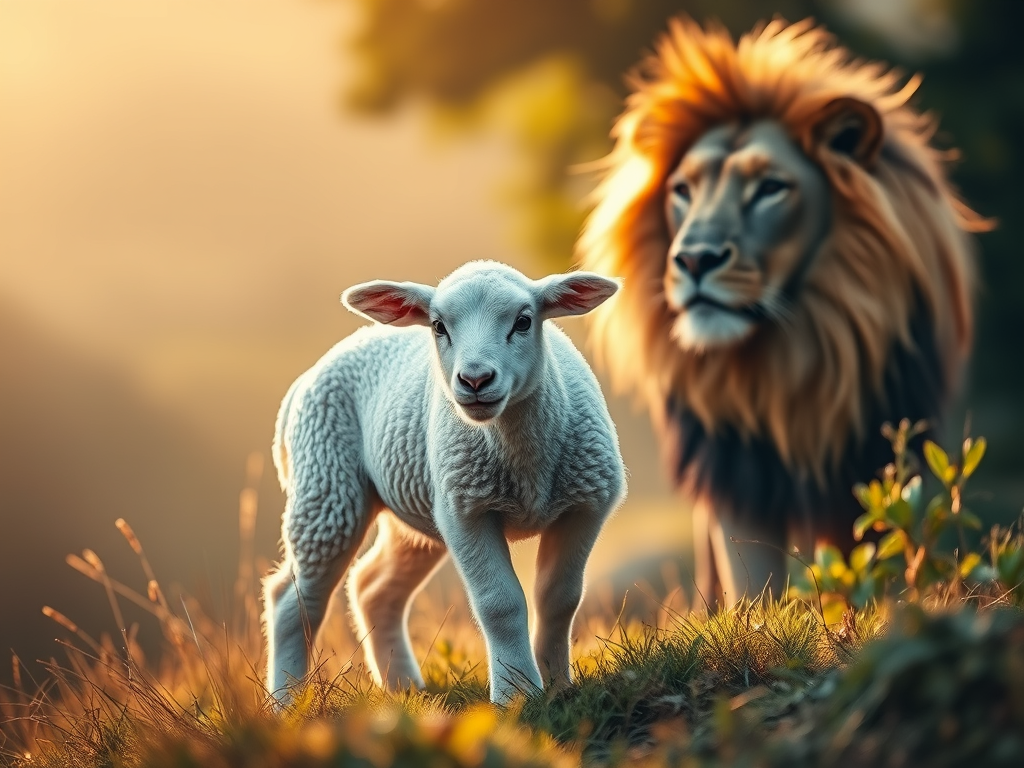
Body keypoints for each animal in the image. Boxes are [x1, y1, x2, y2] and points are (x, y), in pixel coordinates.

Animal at [262, 260, 626, 705]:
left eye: (524, 321)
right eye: (438, 326)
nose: (475, 380)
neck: (524, 463)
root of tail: (306, 378)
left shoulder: (584, 506)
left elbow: (559, 599)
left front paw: (558, 687)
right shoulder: (466, 512)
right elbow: (499, 604)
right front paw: (517, 693)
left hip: (413, 508)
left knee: (374, 587)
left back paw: (404, 689)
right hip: (326, 486)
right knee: (294, 599)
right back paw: (287, 703)